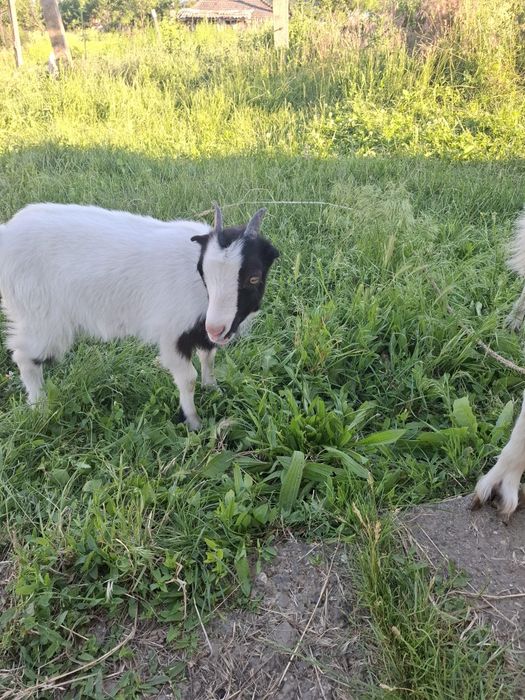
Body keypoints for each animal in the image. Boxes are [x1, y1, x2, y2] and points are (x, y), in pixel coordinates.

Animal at [0, 203, 279, 429]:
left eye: (253, 277)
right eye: (203, 272)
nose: (217, 329)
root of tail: (7, 233)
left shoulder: (201, 330)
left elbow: (208, 358)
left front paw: (214, 390)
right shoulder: (172, 334)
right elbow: (188, 379)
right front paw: (194, 422)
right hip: (40, 316)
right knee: (25, 356)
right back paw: (39, 407)